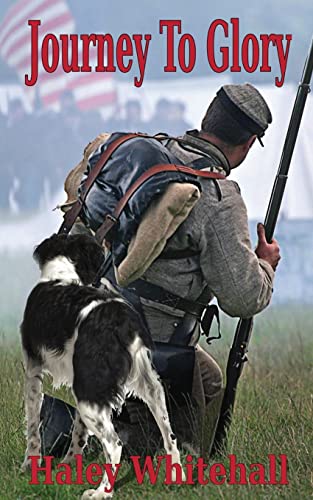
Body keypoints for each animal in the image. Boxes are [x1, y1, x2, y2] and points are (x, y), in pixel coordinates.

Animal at [20, 233, 183, 496]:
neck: (61, 275)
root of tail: (123, 322)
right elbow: (78, 432)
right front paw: (69, 465)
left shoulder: (33, 371)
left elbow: (33, 426)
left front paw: (28, 466)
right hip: (149, 388)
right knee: (170, 436)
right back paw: (177, 479)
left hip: (90, 392)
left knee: (114, 444)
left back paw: (100, 492)